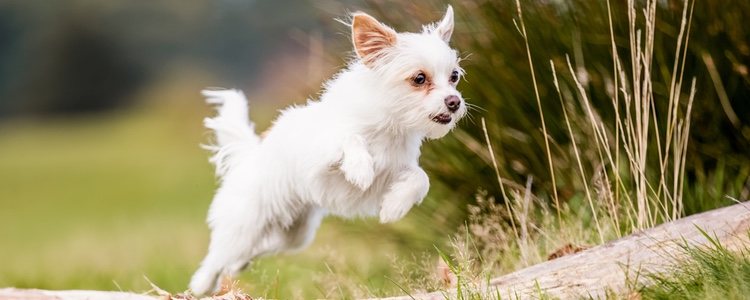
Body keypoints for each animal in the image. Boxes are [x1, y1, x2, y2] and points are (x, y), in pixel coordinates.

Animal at [191, 5, 468, 294]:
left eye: (454, 77)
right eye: (419, 78)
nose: (454, 102)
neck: (389, 126)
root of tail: (249, 156)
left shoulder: (393, 172)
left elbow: (419, 178)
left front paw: (394, 206)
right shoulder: (319, 155)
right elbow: (348, 138)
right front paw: (359, 169)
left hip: (295, 234)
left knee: (256, 250)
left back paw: (238, 266)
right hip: (244, 224)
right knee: (217, 257)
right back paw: (202, 285)